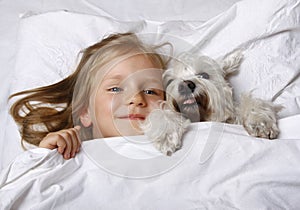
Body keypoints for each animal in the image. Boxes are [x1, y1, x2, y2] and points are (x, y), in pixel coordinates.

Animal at [142, 51, 282, 156]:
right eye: (170, 81)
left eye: (204, 75)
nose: (185, 85)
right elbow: (162, 114)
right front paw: (167, 137)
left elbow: (253, 104)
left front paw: (260, 123)